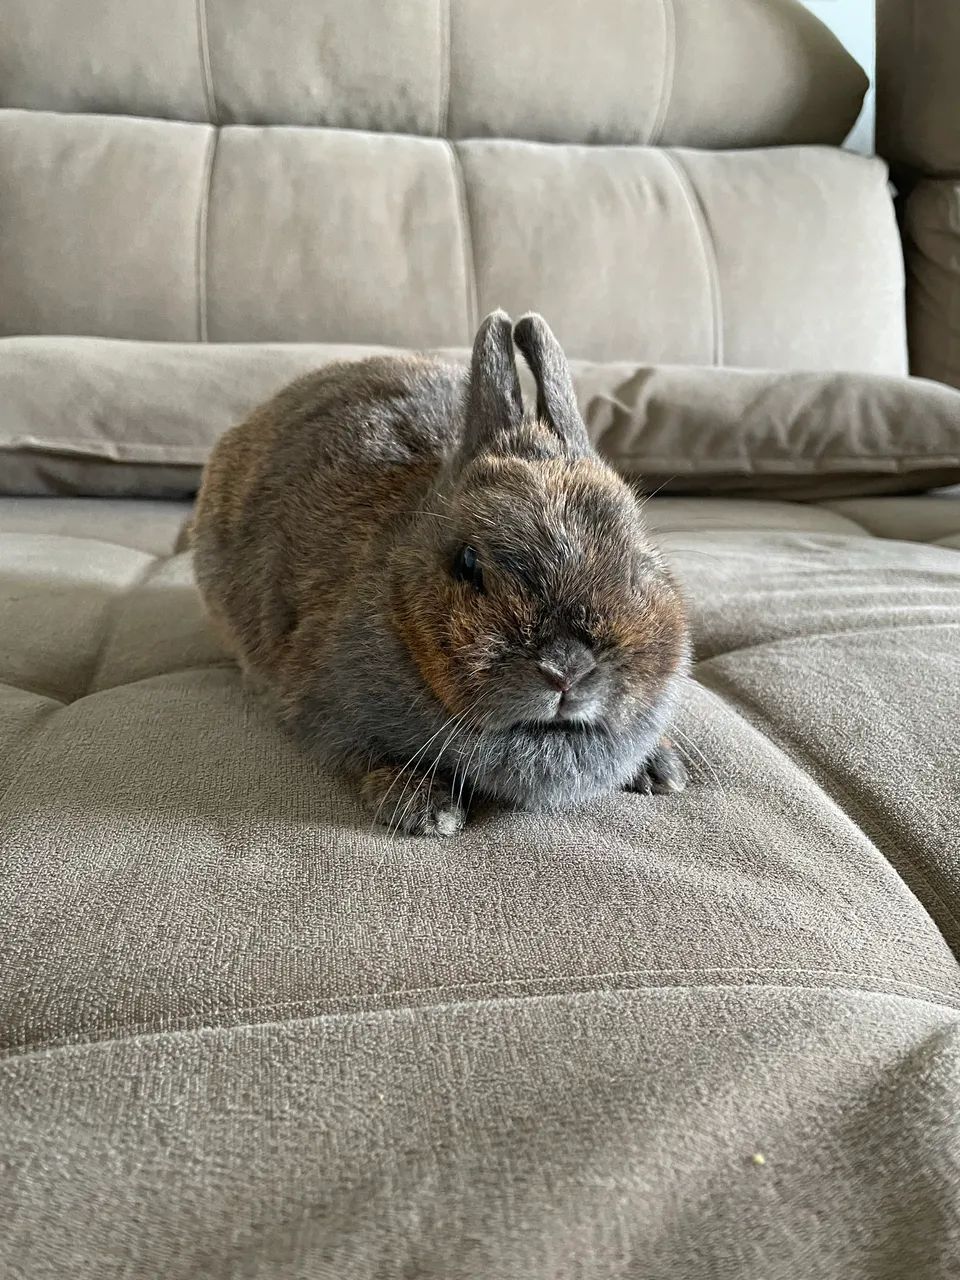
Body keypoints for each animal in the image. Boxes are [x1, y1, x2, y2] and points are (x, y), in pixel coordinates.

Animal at [192, 310, 690, 836]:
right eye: (468, 562)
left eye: (636, 566)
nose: (566, 670)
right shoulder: (324, 711)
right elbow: (362, 753)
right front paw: (427, 810)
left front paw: (664, 770)